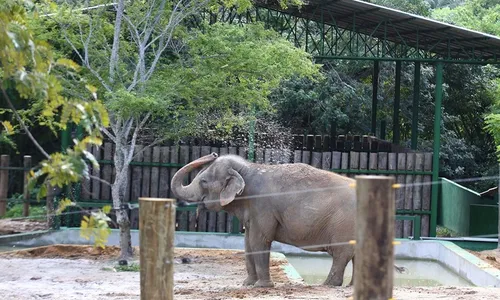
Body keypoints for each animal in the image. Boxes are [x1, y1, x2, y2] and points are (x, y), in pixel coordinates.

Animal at [170, 154, 358, 288]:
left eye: (203, 181)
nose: (213, 153)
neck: (248, 168)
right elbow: (247, 243)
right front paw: (247, 284)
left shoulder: (262, 206)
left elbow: (259, 240)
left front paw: (262, 286)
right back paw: (351, 286)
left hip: (344, 224)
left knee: (341, 254)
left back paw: (327, 285)